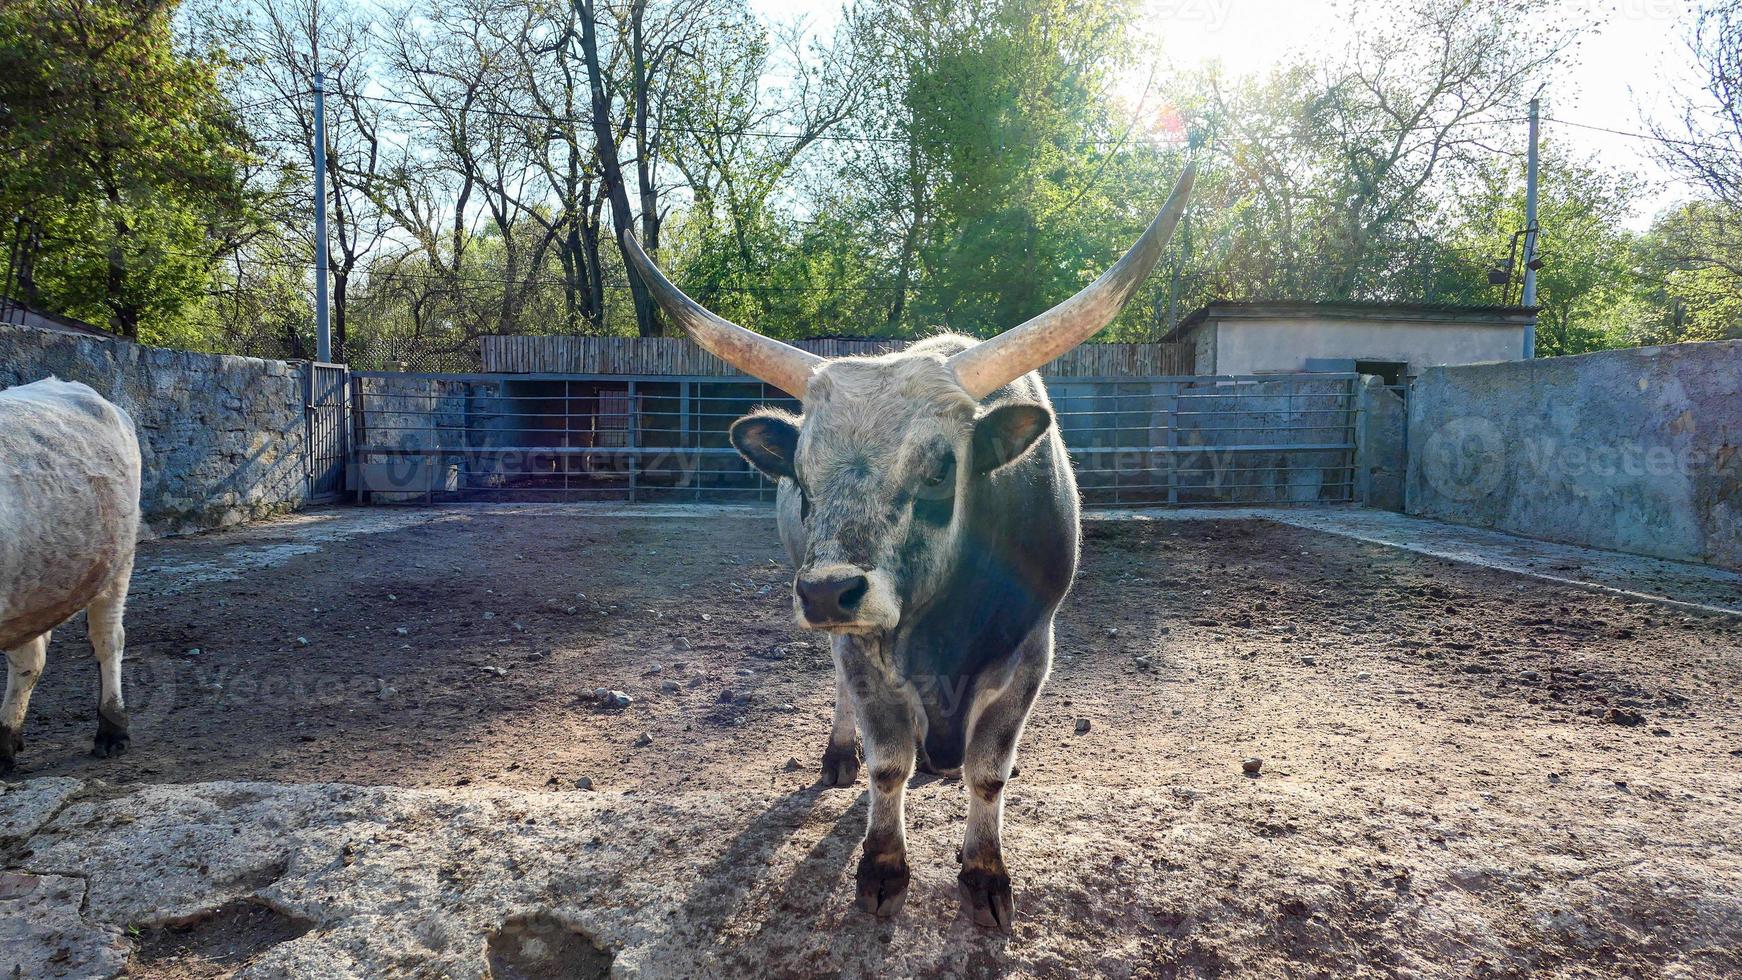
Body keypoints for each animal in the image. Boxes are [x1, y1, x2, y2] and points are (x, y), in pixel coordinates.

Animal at [627, 164, 1198, 933]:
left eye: (939, 469)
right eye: (801, 473)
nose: (825, 590)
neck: (947, 624)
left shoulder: (1033, 648)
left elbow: (988, 770)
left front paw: (985, 872)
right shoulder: (867, 648)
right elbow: (887, 762)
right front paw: (883, 865)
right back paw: (842, 753)